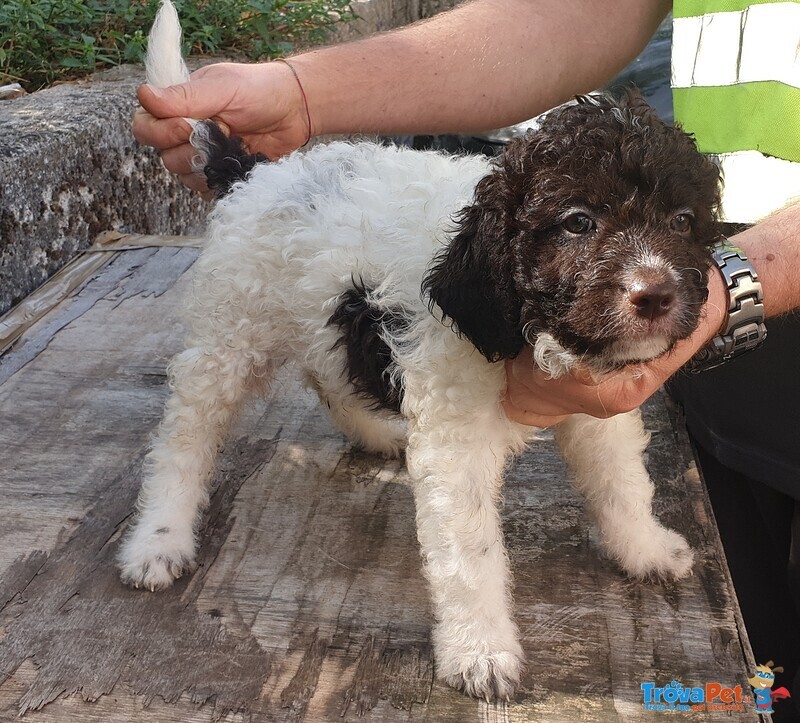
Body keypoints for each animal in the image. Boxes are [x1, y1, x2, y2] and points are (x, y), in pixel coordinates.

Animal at [122, 0, 720, 700]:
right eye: (577, 222)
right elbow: (471, 554)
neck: (518, 328)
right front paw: (480, 651)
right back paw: (157, 540)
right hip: (228, 333)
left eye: (682, 222)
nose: (655, 294)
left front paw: (645, 549)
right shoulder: (456, 439)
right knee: (182, 440)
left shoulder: (594, 404)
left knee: (328, 373)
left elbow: (622, 481)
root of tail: (260, 172)